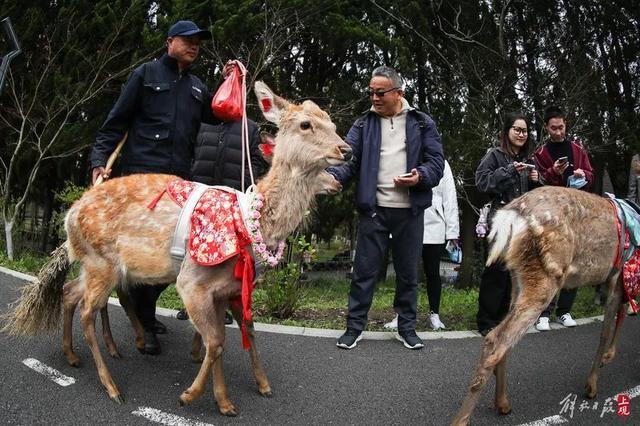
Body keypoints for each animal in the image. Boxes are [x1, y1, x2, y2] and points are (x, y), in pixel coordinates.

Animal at [2, 81, 352, 414]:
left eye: (333, 123)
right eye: (306, 124)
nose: (346, 150)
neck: (248, 221)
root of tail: (70, 215)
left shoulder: (226, 288)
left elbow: (232, 336)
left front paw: (234, 398)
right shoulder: (192, 281)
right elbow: (216, 341)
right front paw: (193, 396)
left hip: (97, 265)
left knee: (70, 293)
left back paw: (75, 355)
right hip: (101, 261)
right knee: (88, 308)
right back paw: (112, 386)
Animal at [450, 186, 632, 426]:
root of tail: (511, 215)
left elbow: (618, 316)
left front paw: (605, 360)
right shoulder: (618, 277)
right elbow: (607, 329)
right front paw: (593, 384)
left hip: (519, 277)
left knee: (503, 337)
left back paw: (503, 403)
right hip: (547, 275)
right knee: (496, 339)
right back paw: (462, 419)